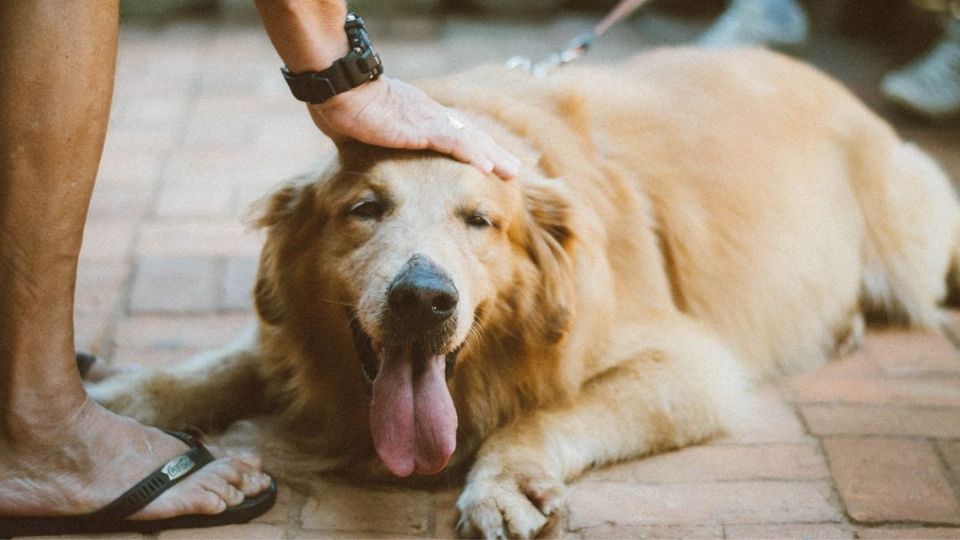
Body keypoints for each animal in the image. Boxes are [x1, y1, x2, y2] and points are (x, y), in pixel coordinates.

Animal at [88, 48, 960, 536]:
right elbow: (222, 363)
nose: (423, 299)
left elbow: (547, 410)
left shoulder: (689, 365)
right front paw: (124, 399)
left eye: (481, 221)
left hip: (917, 238)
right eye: (365, 209)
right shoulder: (292, 338)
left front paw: (507, 480)